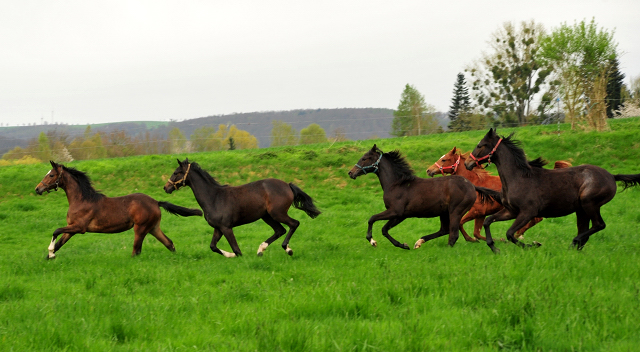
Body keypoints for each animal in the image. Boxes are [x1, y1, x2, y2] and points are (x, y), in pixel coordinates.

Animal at [34, 160, 202, 258]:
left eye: (51, 175)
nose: (37, 189)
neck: (81, 200)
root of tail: (155, 202)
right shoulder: (71, 229)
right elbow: (59, 243)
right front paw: (49, 257)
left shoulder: (79, 227)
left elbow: (55, 231)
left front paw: (50, 252)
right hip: (153, 228)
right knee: (169, 243)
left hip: (140, 229)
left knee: (136, 251)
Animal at [164, 159, 320, 256]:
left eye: (176, 172)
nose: (166, 187)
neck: (214, 197)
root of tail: (287, 185)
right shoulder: (218, 228)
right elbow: (213, 246)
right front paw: (229, 255)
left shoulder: (226, 228)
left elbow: (237, 250)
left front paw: (234, 255)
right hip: (266, 216)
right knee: (279, 230)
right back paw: (261, 250)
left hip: (277, 213)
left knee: (294, 224)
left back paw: (287, 249)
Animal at [348, 144, 478, 249]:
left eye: (364, 158)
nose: (351, 173)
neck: (396, 184)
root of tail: (472, 186)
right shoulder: (400, 215)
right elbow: (384, 229)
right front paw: (403, 245)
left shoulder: (395, 211)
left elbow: (372, 218)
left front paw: (372, 241)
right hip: (444, 212)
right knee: (444, 230)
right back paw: (419, 242)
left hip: (455, 211)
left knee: (453, 234)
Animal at [428, 146, 572, 242]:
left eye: (444, 160)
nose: (429, 170)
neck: (475, 182)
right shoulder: (481, 214)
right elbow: (477, 232)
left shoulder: (476, 211)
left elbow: (461, 224)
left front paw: (471, 239)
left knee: (536, 219)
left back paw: (518, 234)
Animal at [464, 129, 640, 253]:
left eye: (481, 145)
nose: (467, 163)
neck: (518, 177)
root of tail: (611, 176)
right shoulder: (512, 211)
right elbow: (488, 221)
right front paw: (494, 247)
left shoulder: (527, 212)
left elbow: (510, 233)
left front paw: (533, 245)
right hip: (581, 210)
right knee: (586, 230)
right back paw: (575, 248)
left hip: (590, 203)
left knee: (599, 225)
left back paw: (573, 242)